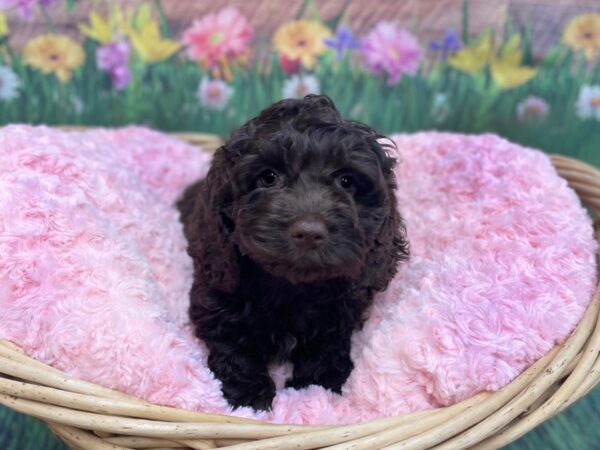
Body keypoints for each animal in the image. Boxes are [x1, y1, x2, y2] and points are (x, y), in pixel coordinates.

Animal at [178, 96, 410, 412]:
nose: (309, 232)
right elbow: (232, 345)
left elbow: (327, 344)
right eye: (268, 177)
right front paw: (248, 394)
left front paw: (317, 384)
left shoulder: (341, 312)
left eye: (347, 182)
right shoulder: (215, 294)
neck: (291, 287)